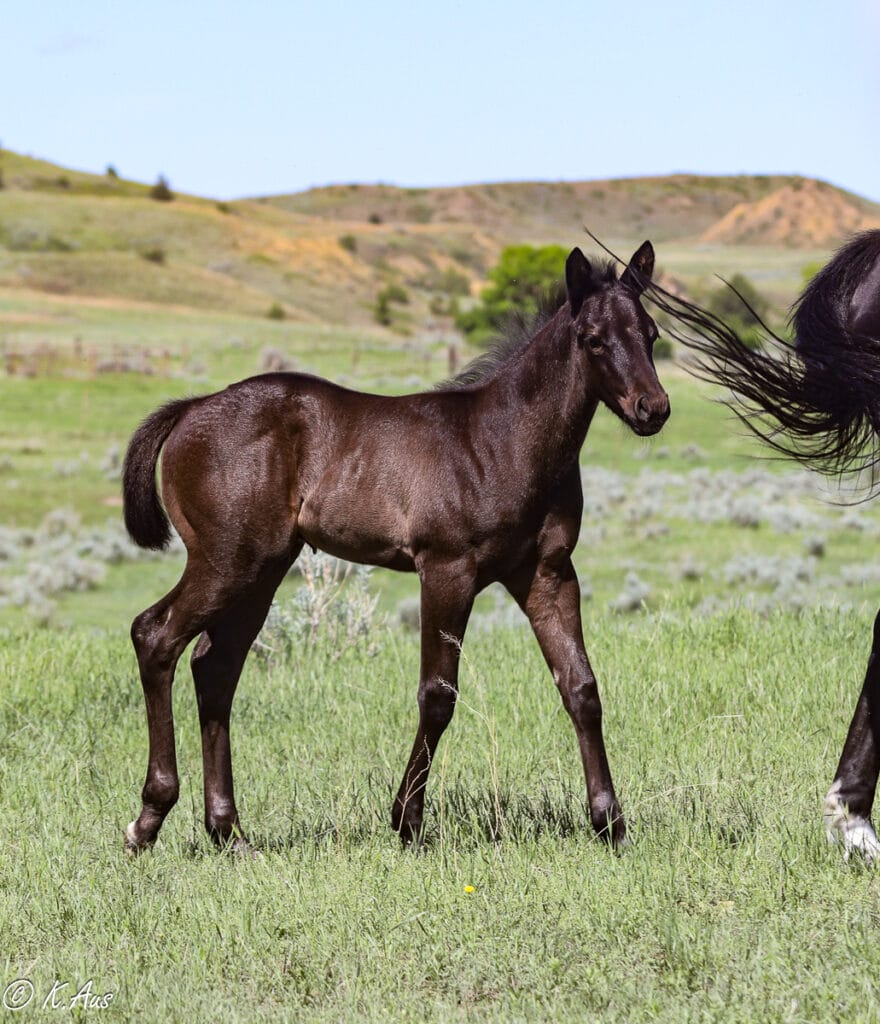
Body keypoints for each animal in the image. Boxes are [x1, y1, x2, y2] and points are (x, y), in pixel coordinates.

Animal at [118, 241, 667, 856]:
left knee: (215, 667)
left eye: (650, 332)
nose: (653, 408)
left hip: (261, 570)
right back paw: (149, 818)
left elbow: (581, 687)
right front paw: (406, 821)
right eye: (593, 338)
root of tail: (189, 409)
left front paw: (610, 823)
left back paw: (228, 831)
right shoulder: (447, 570)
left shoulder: (546, 574)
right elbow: (438, 695)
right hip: (226, 560)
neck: (503, 441)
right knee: (155, 635)